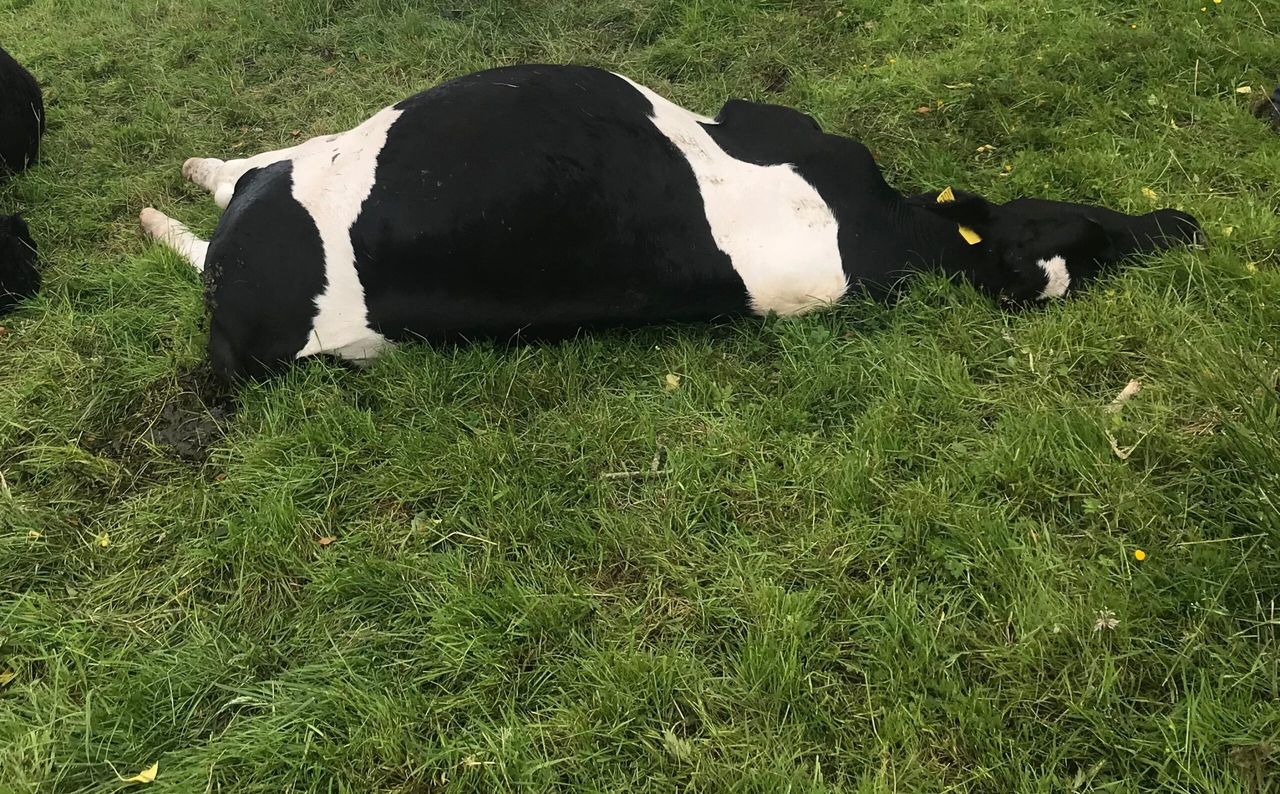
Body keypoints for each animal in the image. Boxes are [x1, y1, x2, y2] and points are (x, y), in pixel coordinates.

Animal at [139, 64, 1202, 382]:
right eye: (1079, 223)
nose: (1181, 221)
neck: (886, 233)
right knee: (250, 172)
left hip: (283, 234)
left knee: (244, 190)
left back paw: (169, 204)